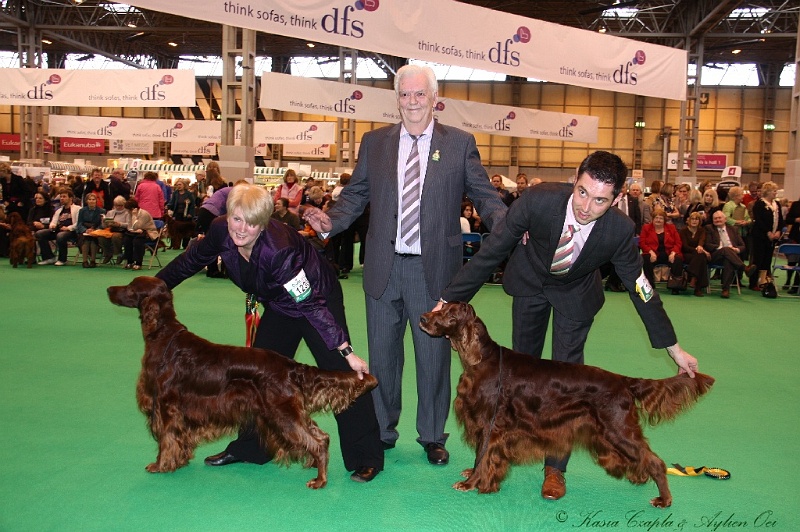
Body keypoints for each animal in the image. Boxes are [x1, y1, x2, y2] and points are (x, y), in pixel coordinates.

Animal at [107, 276, 378, 488]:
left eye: (131, 287)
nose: (109, 289)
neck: (163, 334)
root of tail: (289, 366)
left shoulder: (165, 404)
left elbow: (166, 439)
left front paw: (160, 465)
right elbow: (177, 439)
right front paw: (179, 461)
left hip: (281, 413)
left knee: (318, 440)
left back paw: (320, 480)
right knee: (320, 435)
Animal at [422, 302, 716, 510]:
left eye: (450, 315)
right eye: (441, 309)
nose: (424, 318)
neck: (482, 360)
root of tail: (623, 380)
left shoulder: (489, 424)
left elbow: (482, 456)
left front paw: (470, 483)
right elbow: (479, 457)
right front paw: (474, 476)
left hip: (617, 429)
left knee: (655, 461)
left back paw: (663, 500)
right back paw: (639, 478)